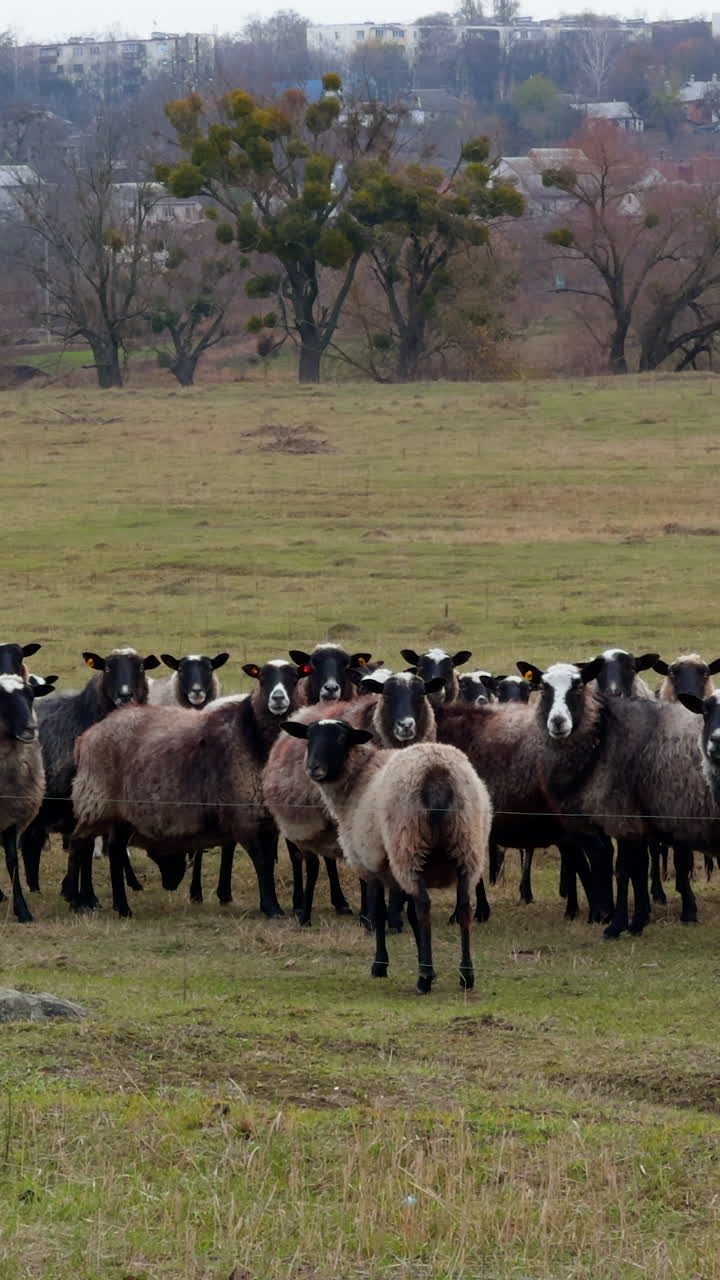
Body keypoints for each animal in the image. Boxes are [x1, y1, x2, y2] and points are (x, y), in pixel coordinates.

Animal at [20, 647, 161, 909]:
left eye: (140, 667)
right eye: (107, 667)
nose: (125, 695)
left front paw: (80, 894)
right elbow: (82, 847)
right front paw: (81, 897)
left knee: (30, 841)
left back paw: (34, 886)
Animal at [70, 659, 303, 919]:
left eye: (295, 677)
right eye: (262, 678)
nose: (278, 699)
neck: (252, 739)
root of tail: (86, 736)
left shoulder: (266, 819)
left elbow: (268, 862)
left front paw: (272, 905)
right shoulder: (244, 815)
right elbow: (262, 862)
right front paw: (272, 908)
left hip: (121, 811)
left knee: (115, 849)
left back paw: (121, 907)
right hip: (96, 800)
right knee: (79, 843)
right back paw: (77, 899)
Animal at [263, 672, 444, 926]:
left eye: (421, 694)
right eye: (387, 694)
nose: (406, 726)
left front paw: (394, 914)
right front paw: (372, 917)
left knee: (329, 859)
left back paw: (341, 903)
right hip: (301, 818)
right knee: (300, 856)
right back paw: (301, 903)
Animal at [283, 717, 492, 993]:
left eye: (340, 737)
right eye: (309, 736)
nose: (313, 767)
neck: (358, 779)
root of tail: (437, 771)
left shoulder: (372, 862)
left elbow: (379, 913)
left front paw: (380, 966)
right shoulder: (393, 871)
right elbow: (409, 915)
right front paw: (421, 958)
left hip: (408, 846)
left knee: (424, 905)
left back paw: (424, 979)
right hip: (467, 845)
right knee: (464, 908)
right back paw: (466, 976)